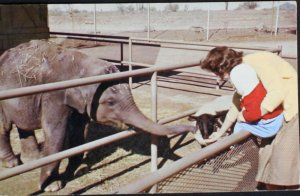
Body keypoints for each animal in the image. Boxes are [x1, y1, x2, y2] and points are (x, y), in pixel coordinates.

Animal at [0, 39, 196, 191]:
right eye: (110, 102)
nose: (194, 125)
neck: (81, 65)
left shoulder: (80, 104)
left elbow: (80, 132)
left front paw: (76, 171)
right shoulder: (54, 95)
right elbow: (55, 133)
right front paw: (51, 186)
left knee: (23, 124)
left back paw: (32, 159)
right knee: (4, 127)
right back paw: (13, 164)